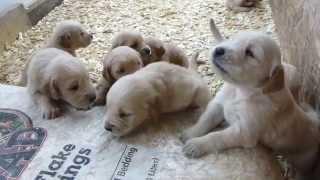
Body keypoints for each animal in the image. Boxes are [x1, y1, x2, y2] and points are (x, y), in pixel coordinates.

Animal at [180, 19, 320, 179]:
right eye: (233, 39)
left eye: (250, 53)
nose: (218, 50)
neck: (241, 91)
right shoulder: (218, 105)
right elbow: (205, 120)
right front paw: (191, 133)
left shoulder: (244, 132)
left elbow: (218, 136)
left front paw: (197, 144)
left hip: (304, 161)